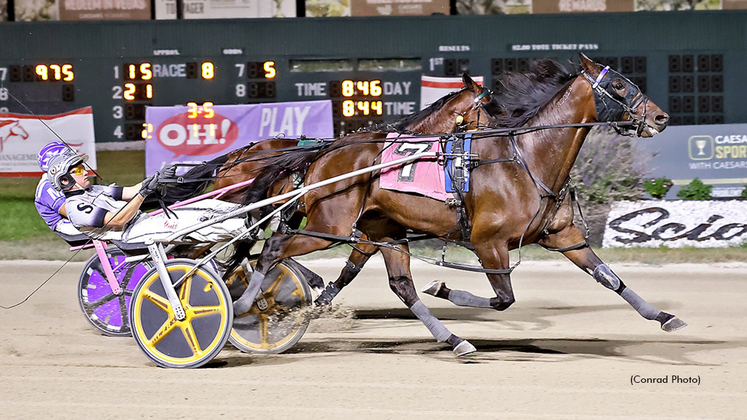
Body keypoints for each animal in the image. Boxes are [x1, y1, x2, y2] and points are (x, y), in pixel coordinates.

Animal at [232, 53, 684, 358]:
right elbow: (503, 299)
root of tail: (324, 153)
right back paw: (244, 305)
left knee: (401, 286)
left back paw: (453, 338)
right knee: (273, 249)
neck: (526, 158)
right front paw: (445, 287)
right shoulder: (489, 243)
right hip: (331, 226)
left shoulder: (563, 235)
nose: (661, 118)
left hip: (384, 231)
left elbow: (609, 278)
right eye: (620, 86)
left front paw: (663, 316)